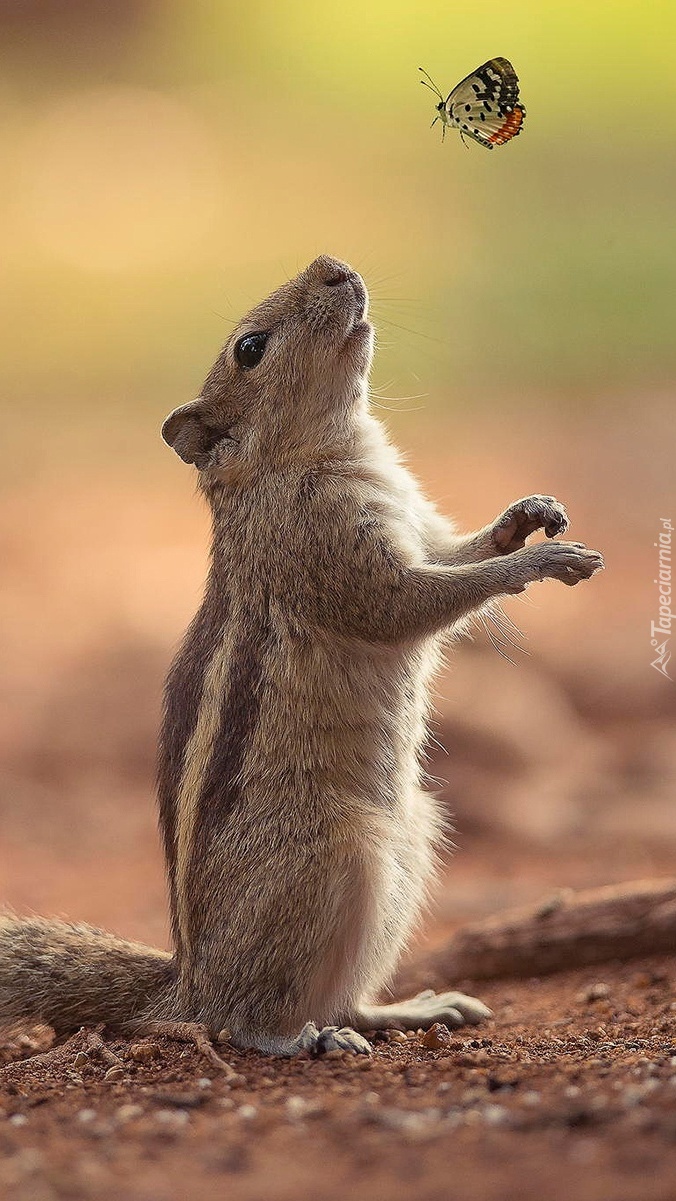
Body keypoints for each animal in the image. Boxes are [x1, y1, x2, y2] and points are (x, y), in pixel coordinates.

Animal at [0, 255, 602, 1061]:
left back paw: (404, 1010)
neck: (321, 454)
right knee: (240, 1019)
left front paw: (527, 516)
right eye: (250, 348)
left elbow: (457, 552)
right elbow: (412, 602)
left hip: (413, 842)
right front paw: (539, 561)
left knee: (342, 995)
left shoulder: (418, 526)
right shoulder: (333, 555)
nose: (333, 265)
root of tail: (188, 980)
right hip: (335, 857)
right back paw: (300, 1039)